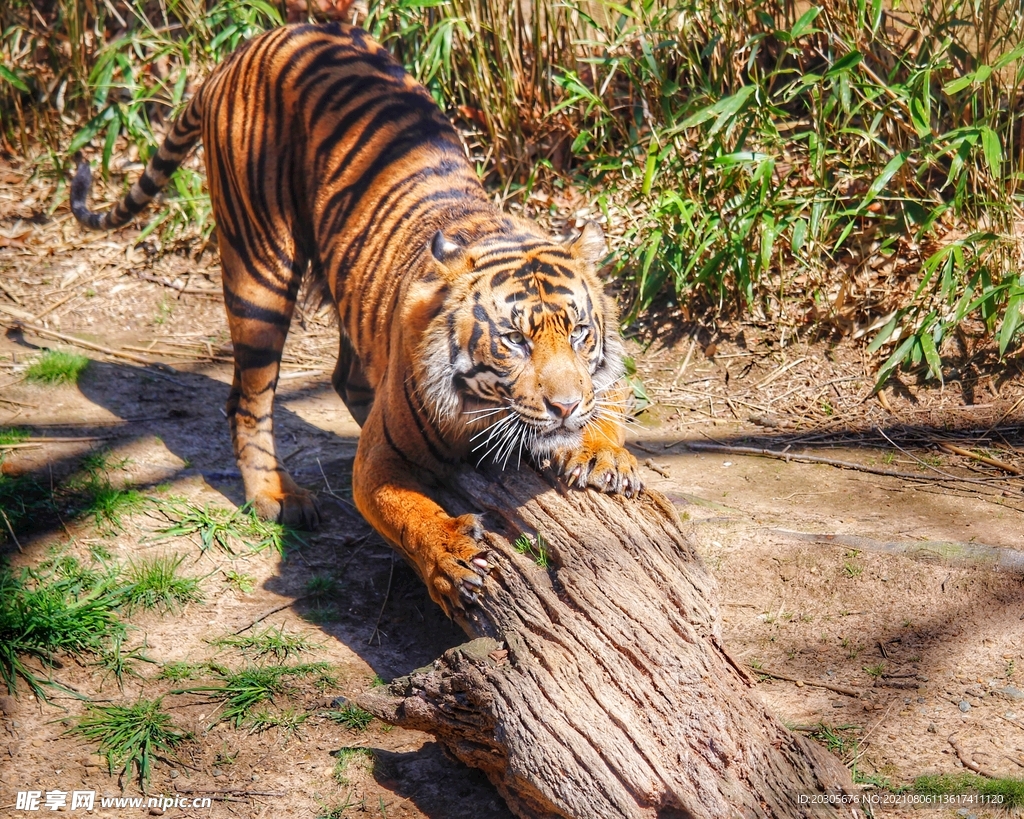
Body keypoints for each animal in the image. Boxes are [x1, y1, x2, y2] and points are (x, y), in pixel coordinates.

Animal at [70, 20, 638, 614]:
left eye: (579, 333)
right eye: (513, 340)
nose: (564, 407)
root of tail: (250, 45)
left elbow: (609, 399)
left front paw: (604, 455)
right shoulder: (377, 463)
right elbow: (406, 510)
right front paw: (452, 561)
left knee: (344, 375)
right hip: (259, 267)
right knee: (248, 400)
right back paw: (276, 495)